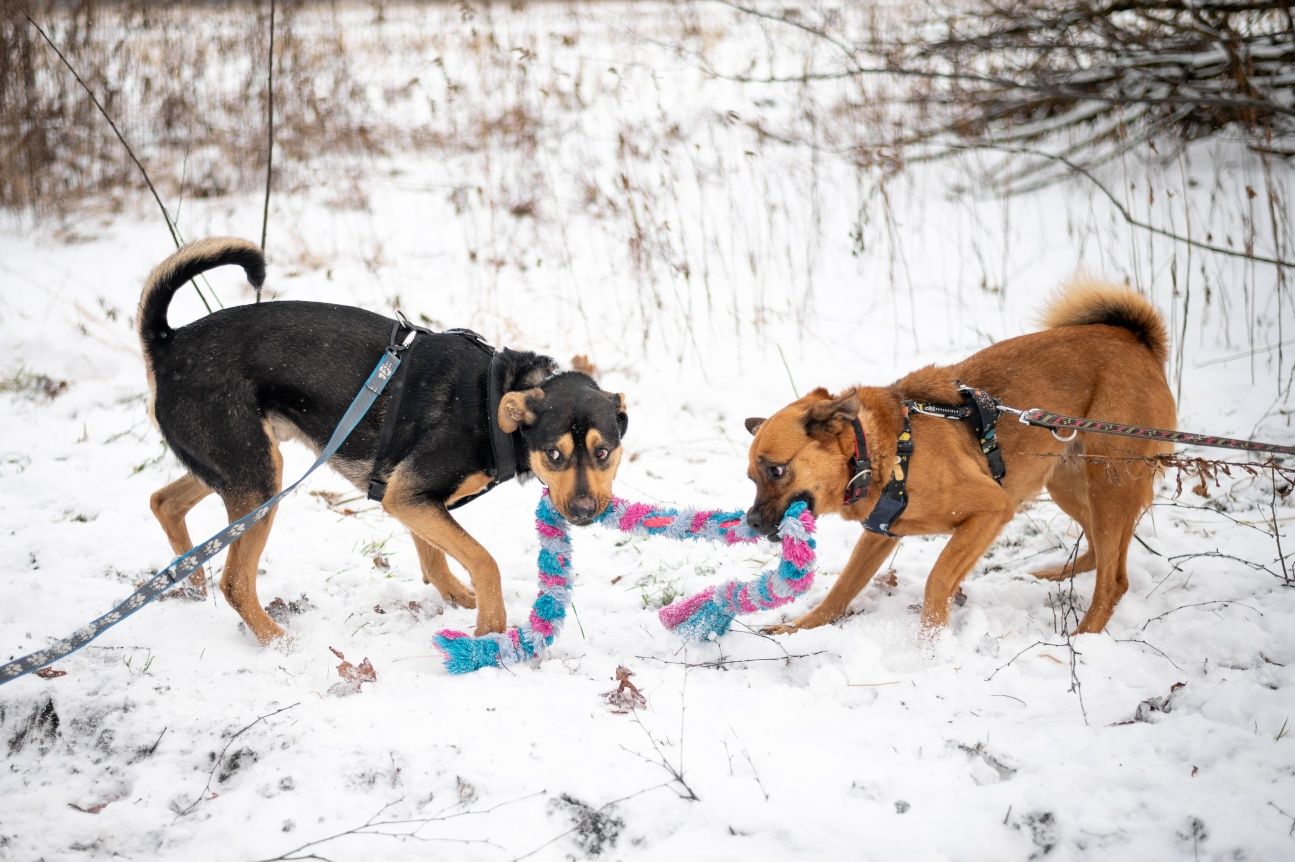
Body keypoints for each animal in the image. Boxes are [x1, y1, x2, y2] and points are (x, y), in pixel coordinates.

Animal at [141, 238, 626, 641]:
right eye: (554, 454)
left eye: (603, 452)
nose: (584, 512)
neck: (495, 403)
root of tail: (168, 343)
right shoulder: (410, 494)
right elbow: (484, 560)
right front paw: (490, 630)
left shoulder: (411, 498)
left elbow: (435, 559)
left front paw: (460, 602)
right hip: (258, 478)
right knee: (236, 583)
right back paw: (278, 642)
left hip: (242, 466)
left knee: (164, 502)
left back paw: (191, 583)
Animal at [745, 280, 1181, 631]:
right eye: (752, 478)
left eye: (776, 470)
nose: (750, 523)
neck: (877, 453)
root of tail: (1137, 341)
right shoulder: (879, 534)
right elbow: (840, 590)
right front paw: (797, 628)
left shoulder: (992, 508)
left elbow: (937, 579)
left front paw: (930, 643)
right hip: (1069, 483)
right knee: (1098, 554)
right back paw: (1053, 577)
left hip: (1108, 483)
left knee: (1114, 580)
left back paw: (1083, 636)